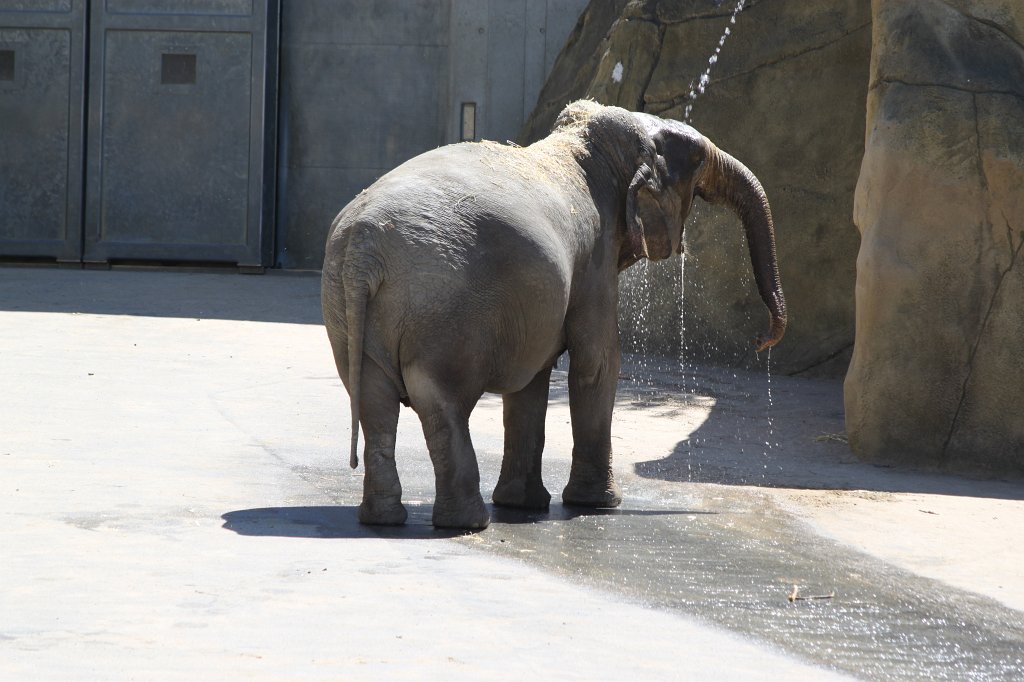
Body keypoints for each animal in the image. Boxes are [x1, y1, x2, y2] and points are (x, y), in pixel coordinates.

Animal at [321, 100, 786, 529]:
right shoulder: (594, 260)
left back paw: (383, 519)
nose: (762, 341)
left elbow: (534, 380)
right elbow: (598, 362)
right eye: (697, 158)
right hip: (441, 313)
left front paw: (522, 504)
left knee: (375, 404)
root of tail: (364, 247)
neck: (583, 146)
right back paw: (467, 523)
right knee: (442, 404)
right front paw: (597, 504)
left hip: (347, 312)